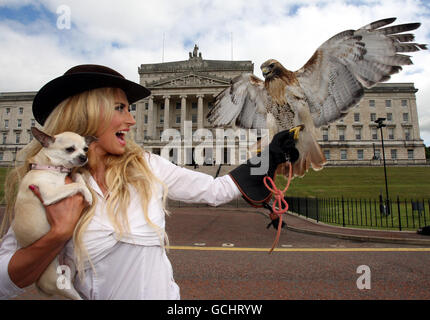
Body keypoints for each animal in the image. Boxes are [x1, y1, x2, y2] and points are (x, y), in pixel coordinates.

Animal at [11, 127, 96, 300]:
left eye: (85, 148)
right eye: (70, 149)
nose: (84, 157)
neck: (54, 170)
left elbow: (77, 176)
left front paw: (85, 186)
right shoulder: (49, 194)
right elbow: (75, 185)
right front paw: (88, 194)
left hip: (72, 266)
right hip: (61, 285)